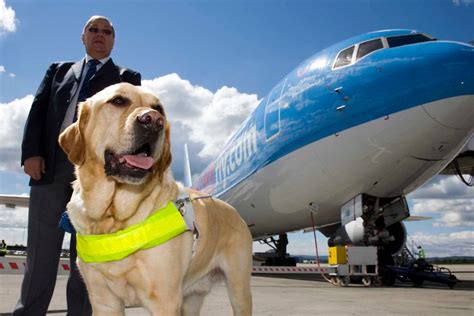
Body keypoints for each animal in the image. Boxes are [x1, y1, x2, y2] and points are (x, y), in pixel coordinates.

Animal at [60, 82, 252, 314]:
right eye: (118, 101)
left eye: (159, 109)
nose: (153, 120)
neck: (114, 220)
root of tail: (231, 209)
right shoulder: (103, 301)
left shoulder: (165, 301)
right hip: (192, 298)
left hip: (238, 289)